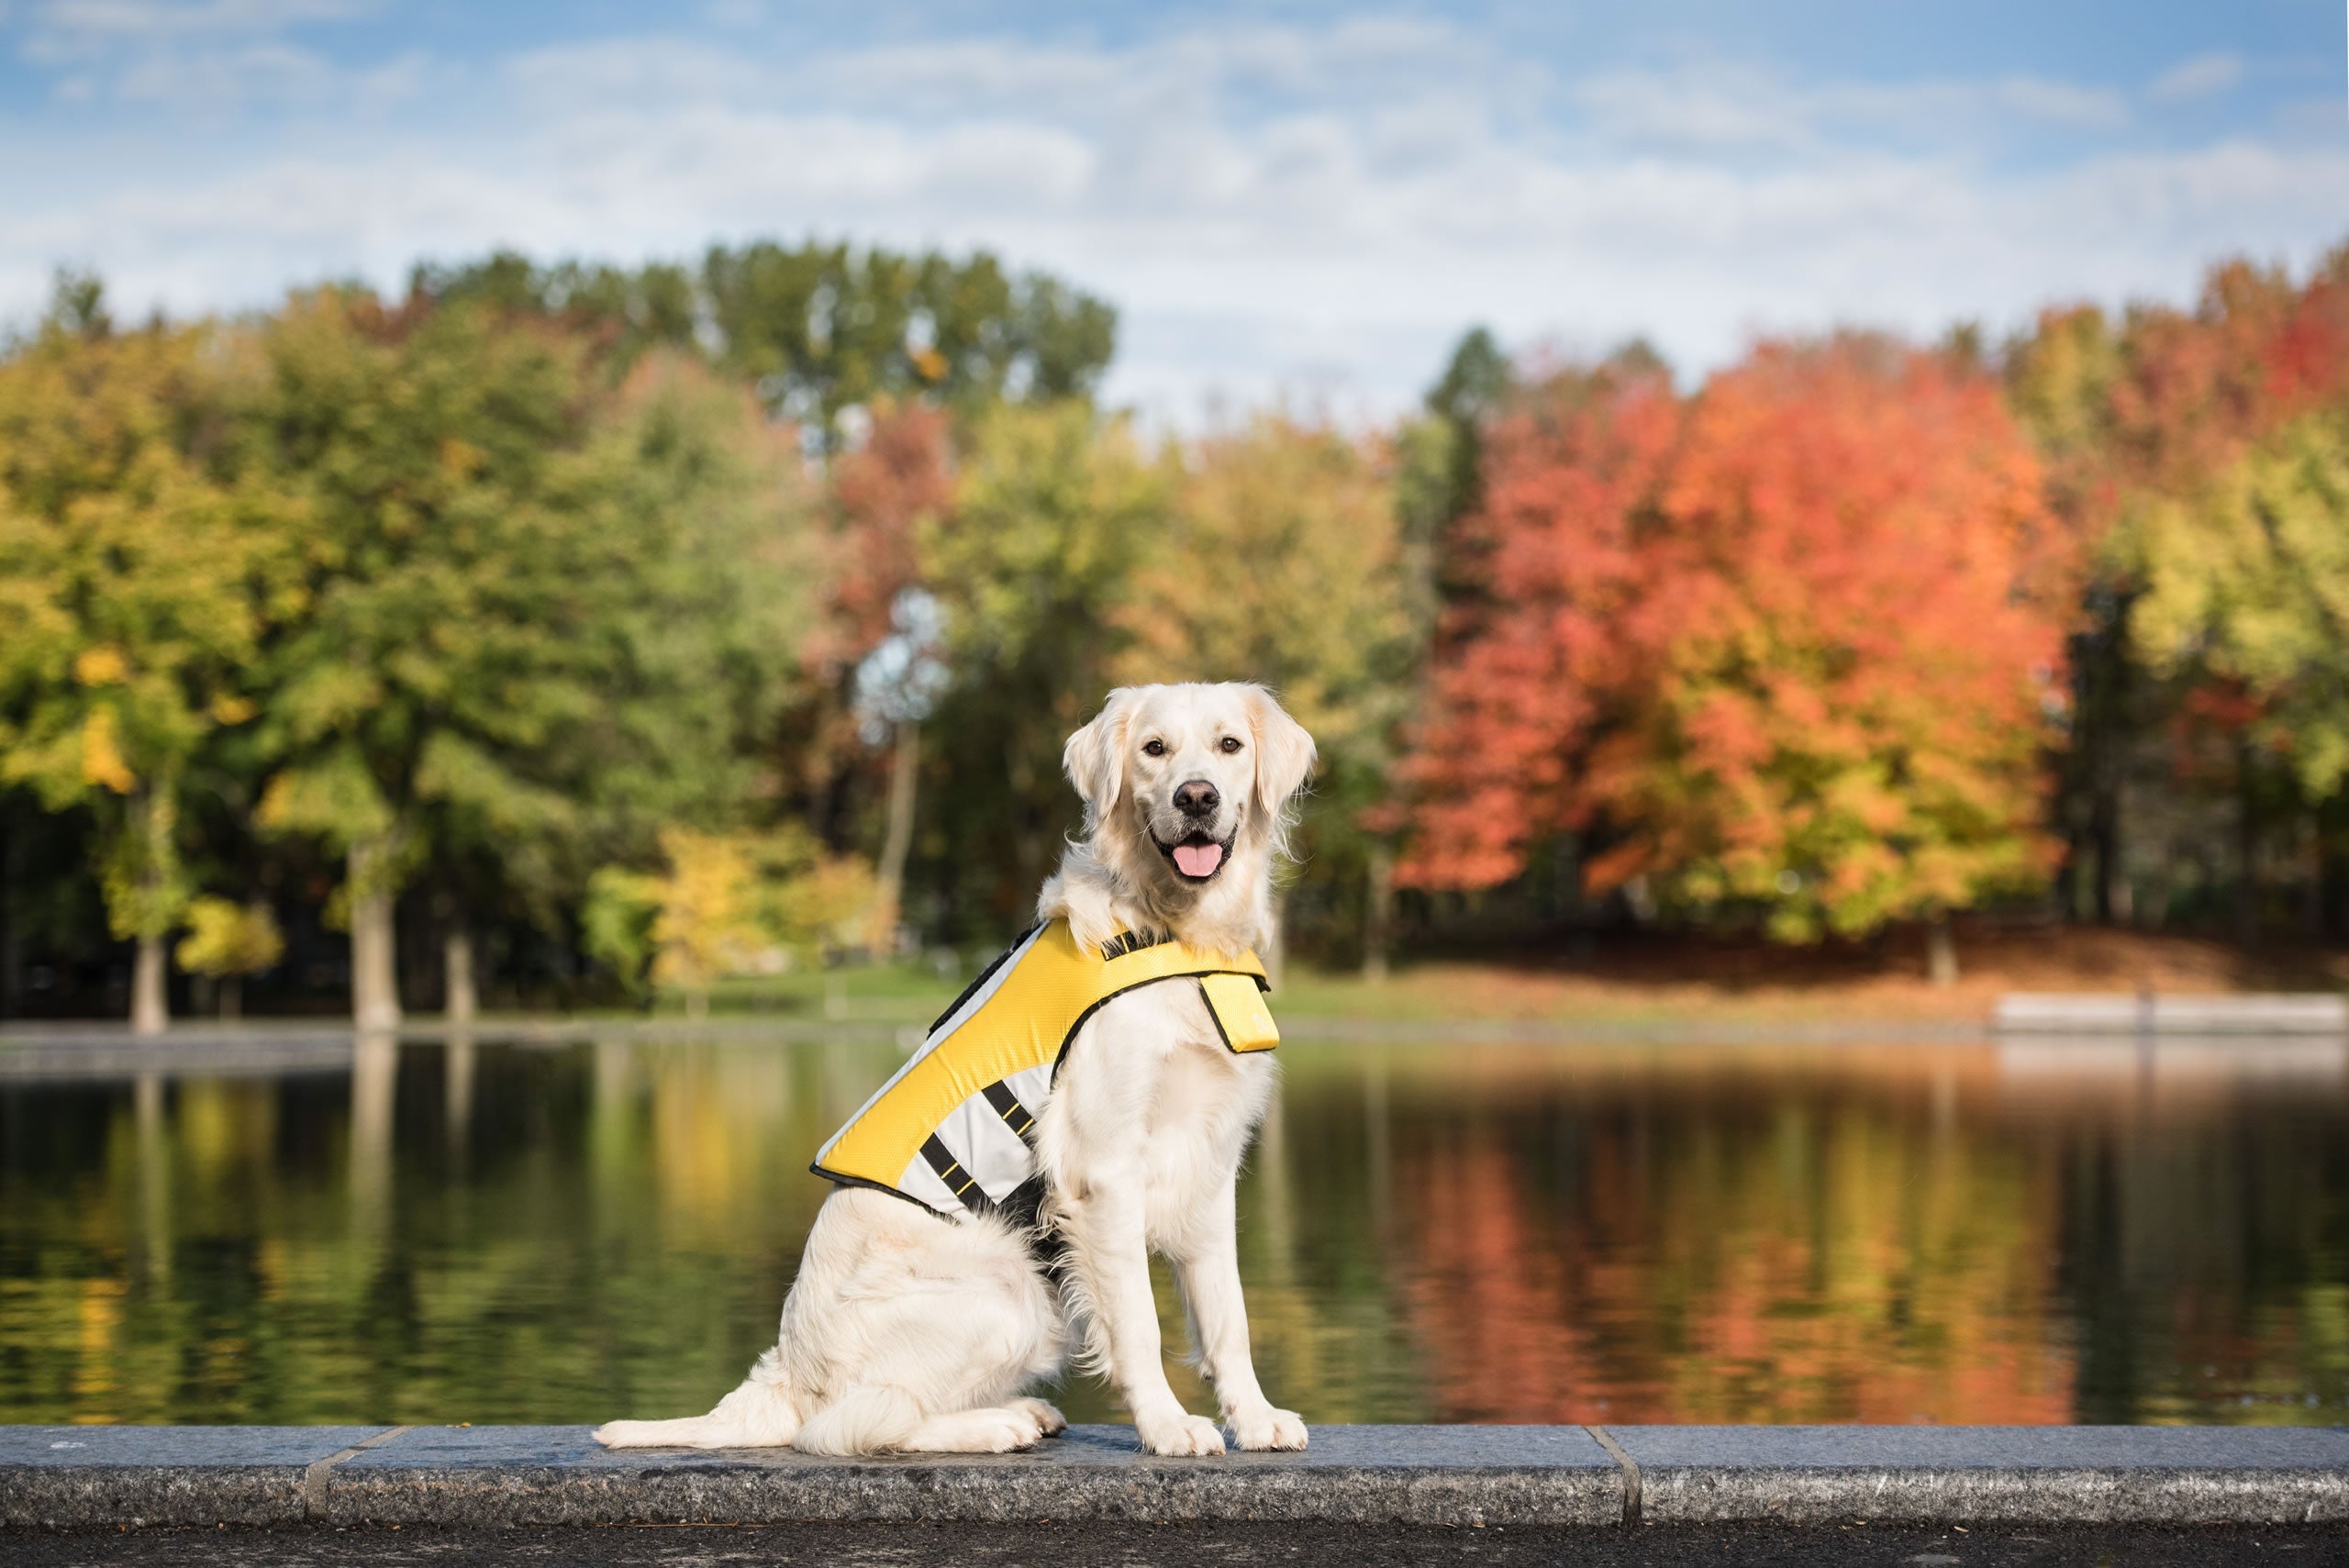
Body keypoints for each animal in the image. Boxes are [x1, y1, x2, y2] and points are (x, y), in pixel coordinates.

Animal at [592, 680, 1324, 1455]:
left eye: (1228, 745)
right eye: (1155, 749)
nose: (1196, 797)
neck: (1170, 934)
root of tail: (787, 1374)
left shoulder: (1210, 1160)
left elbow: (1227, 1314)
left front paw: (1255, 1416)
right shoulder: (1102, 1170)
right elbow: (1138, 1326)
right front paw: (1168, 1425)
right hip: (1011, 1287)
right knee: (851, 1422)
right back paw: (999, 1421)